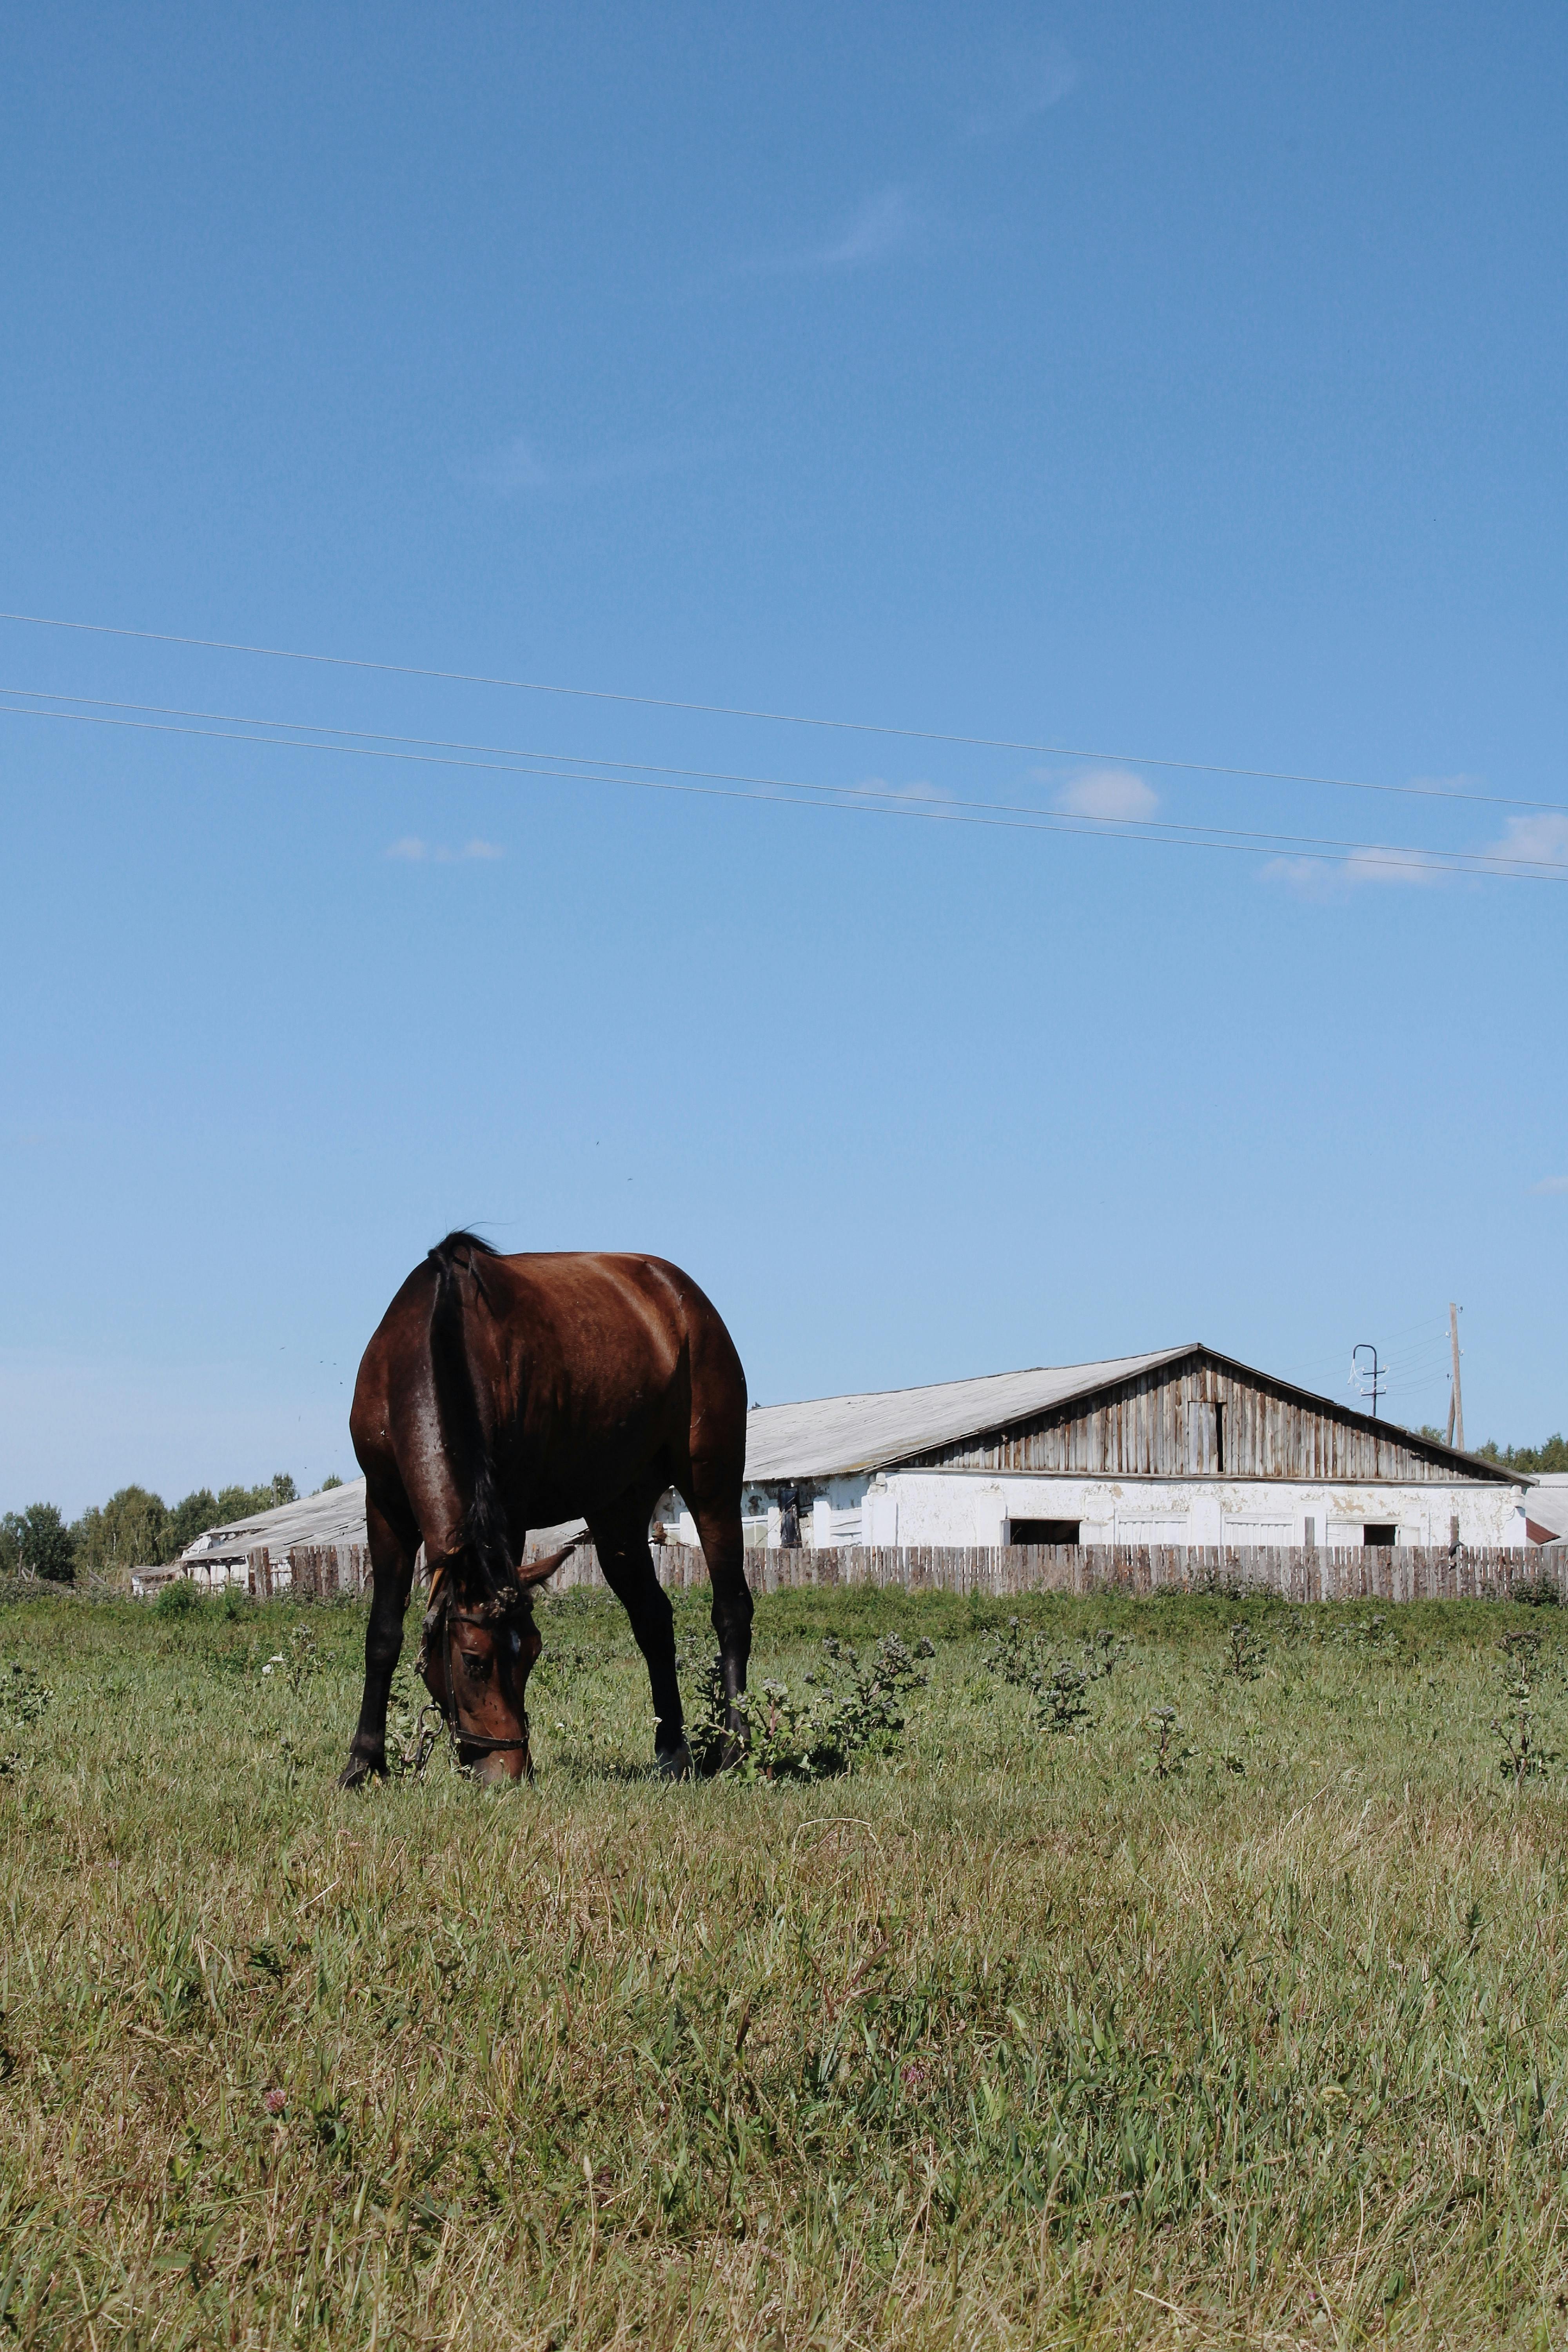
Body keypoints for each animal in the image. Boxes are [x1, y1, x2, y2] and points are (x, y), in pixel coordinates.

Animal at [340, 1232, 753, 1786]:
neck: (434, 1338)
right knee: (652, 1620)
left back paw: (735, 1748)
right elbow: (383, 1635)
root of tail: (684, 1298)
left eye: (533, 1653)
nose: (508, 1770)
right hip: (617, 1515)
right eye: (473, 1660)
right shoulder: (385, 1507)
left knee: (731, 1610)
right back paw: (672, 1752)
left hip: (713, 1485)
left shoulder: (507, 1514)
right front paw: (363, 1763)